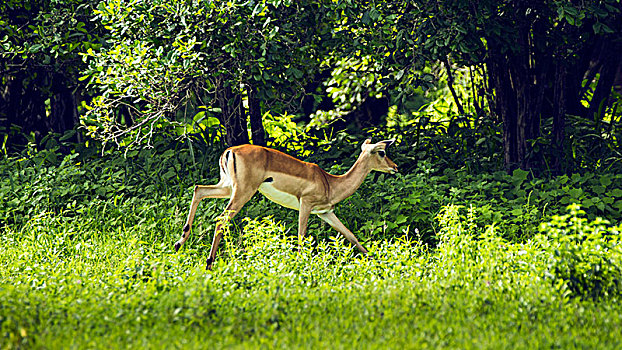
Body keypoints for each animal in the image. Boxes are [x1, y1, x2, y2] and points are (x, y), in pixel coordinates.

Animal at [176, 138, 400, 270]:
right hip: (242, 193)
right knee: (220, 220)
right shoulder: (306, 205)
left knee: (198, 189)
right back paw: (209, 263)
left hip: (227, 187)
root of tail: (229, 151)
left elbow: (351, 236)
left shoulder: (325, 212)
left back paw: (180, 244)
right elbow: (301, 237)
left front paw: (375, 260)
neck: (330, 183)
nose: (395, 167)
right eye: (381, 152)